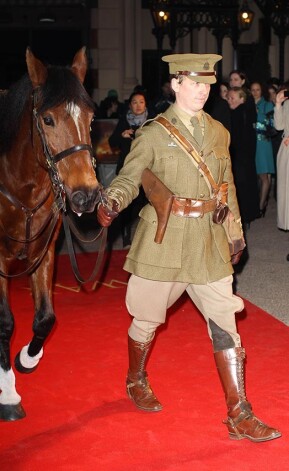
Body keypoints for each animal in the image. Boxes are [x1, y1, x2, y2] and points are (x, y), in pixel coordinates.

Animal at [0, 48, 101, 424]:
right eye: (47, 120)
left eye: (90, 118)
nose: (87, 195)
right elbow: (5, 322)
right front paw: (8, 394)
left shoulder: (42, 253)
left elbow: (45, 318)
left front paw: (27, 359)